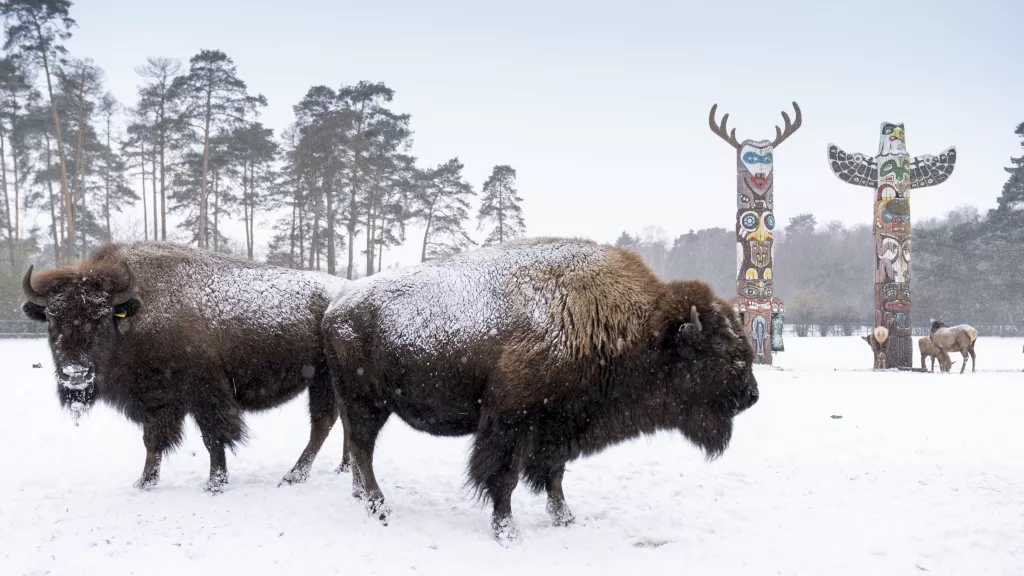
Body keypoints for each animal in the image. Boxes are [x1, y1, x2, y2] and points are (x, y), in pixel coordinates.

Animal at [22, 242, 349, 492]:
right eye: (51, 319)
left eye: (101, 317)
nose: (75, 374)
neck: (136, 315)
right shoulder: (157, 402)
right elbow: (152, 442)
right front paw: (144, 483)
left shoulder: (206, 395)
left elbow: (213, 438)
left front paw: (215, 484)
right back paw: (343, 467)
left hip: (322, 380)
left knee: (322, 424)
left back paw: (294, 476)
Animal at [323, 237, 759, 544]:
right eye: (718, 344)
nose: (752, 395)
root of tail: (335, 307)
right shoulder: (511, 424)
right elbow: (505, 479)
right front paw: (507, 532)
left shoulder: (559, 425)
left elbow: (555, 474)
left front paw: (564, 517)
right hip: (367, 401)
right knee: (362, 447)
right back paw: (379, 507)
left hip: (363, 403)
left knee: (358, 448)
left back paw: (363, 498)